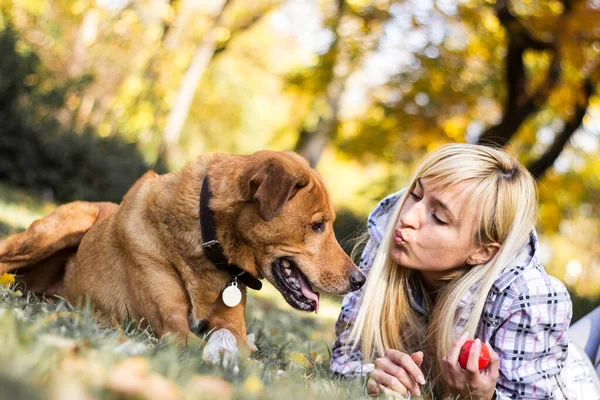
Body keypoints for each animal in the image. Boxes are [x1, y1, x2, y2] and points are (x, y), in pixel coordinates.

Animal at [0, 150, 366, 354]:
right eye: (318, 225)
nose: (360, 280)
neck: (208, 243)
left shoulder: (231, 324)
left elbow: (233, 341)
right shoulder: (171, 325)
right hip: (60, 229)